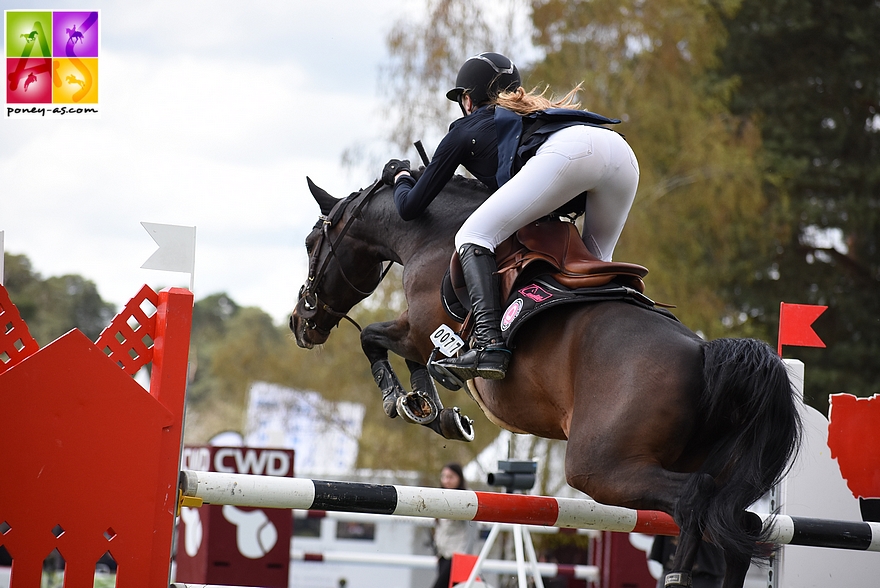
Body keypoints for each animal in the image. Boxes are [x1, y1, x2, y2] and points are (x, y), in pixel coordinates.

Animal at [290, 172, 804, 584]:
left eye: (312, 244)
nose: (301, 322)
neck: (433, 235)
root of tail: (703, 353)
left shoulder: (418, 329)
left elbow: (372, 338)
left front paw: (403, 402)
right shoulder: (420, 338)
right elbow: (412, 364)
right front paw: (434, 412)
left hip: (601, 467)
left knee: (696, 502)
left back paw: (677, 576)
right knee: (736, 523)